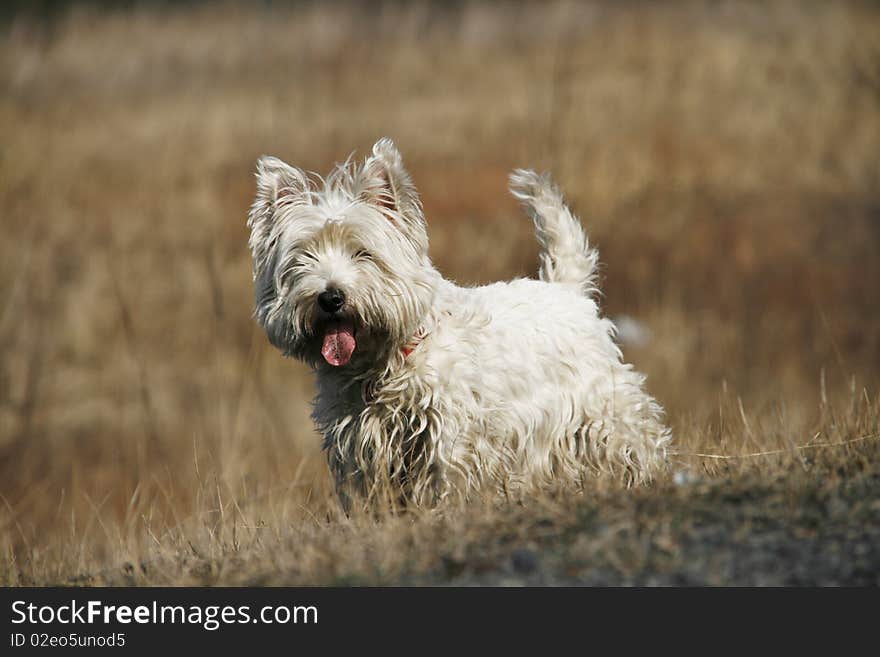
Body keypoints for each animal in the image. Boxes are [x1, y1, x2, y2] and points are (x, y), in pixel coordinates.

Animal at [244, 137, 672, 508]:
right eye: (302, 259)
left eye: (362, 253)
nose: (330, 298)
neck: (384, 367)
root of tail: (567, 290)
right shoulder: (359, 445)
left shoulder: (450, 437)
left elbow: (446, 482)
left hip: (607, 412)